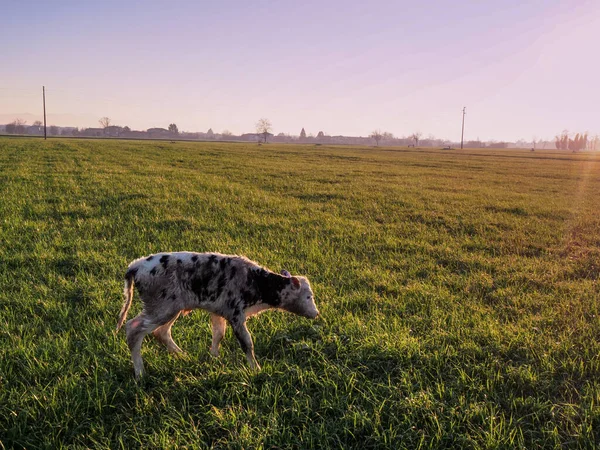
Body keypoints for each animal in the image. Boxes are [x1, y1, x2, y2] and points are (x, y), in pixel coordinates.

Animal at [116, 251, 318, 378]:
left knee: (161, 332)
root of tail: (136, 266)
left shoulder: (218, 311)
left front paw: (214, 358)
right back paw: (140, 374)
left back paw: (183, 356)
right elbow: (247, 343)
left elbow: (218, 334)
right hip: (160, 308)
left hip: (170, 308)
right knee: (133, 329)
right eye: (309, 296)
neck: (257, 282)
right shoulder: (236, 315)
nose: (316, 313)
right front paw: (256, 369)